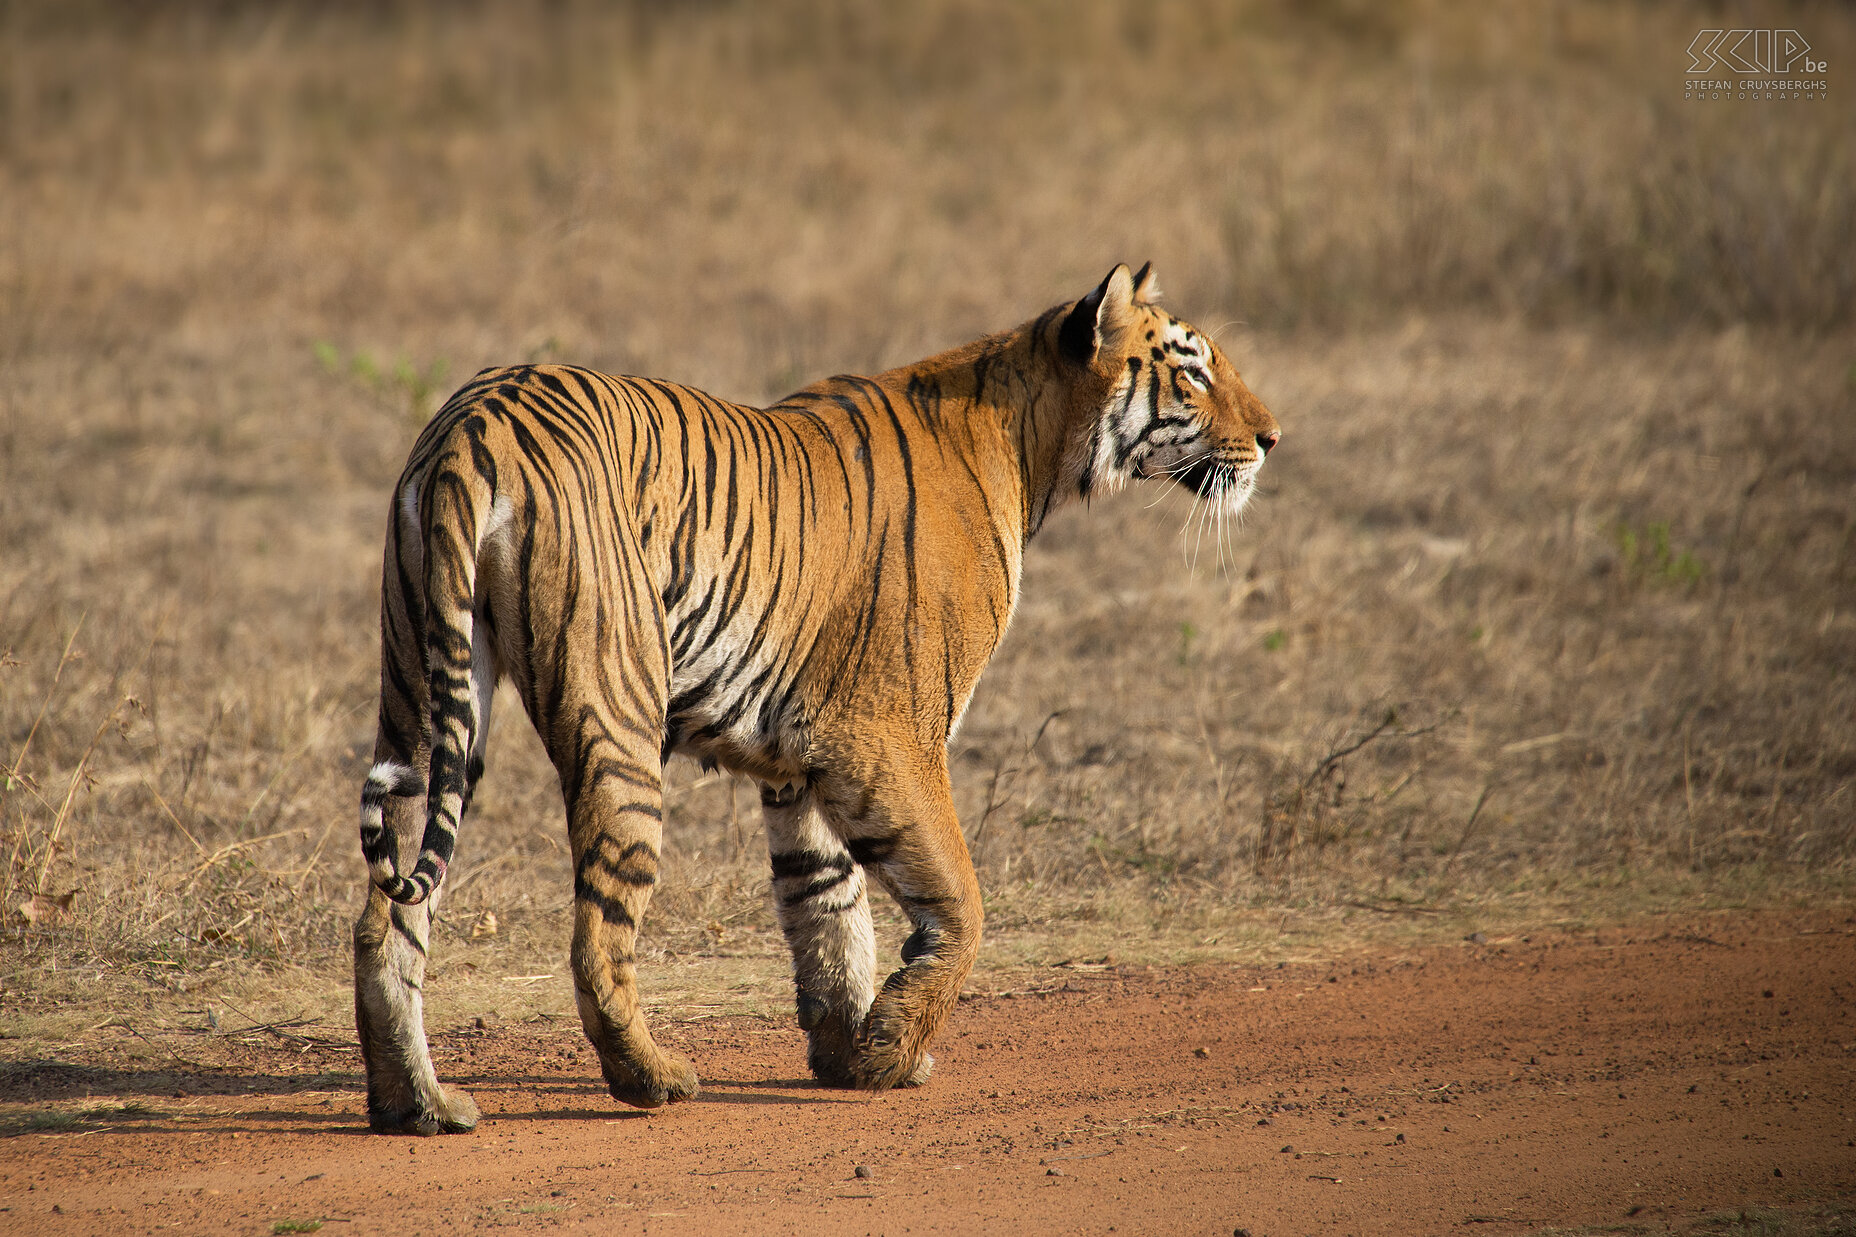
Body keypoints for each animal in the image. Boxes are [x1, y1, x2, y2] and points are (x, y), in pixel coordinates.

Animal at [350, 260, 1276, 1129]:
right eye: (1193, 371)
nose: (1272, 437)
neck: (1032, 445)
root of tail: (472, 422)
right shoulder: (890, 736)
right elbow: (962, 900)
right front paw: (893, 1045)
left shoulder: (801, 760)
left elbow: (828, 903)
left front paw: (852, 1048)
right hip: (617, 712)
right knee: (595, 933)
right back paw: (653, 1077)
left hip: (427, 703)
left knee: (385, 915)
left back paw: (417, 1103)